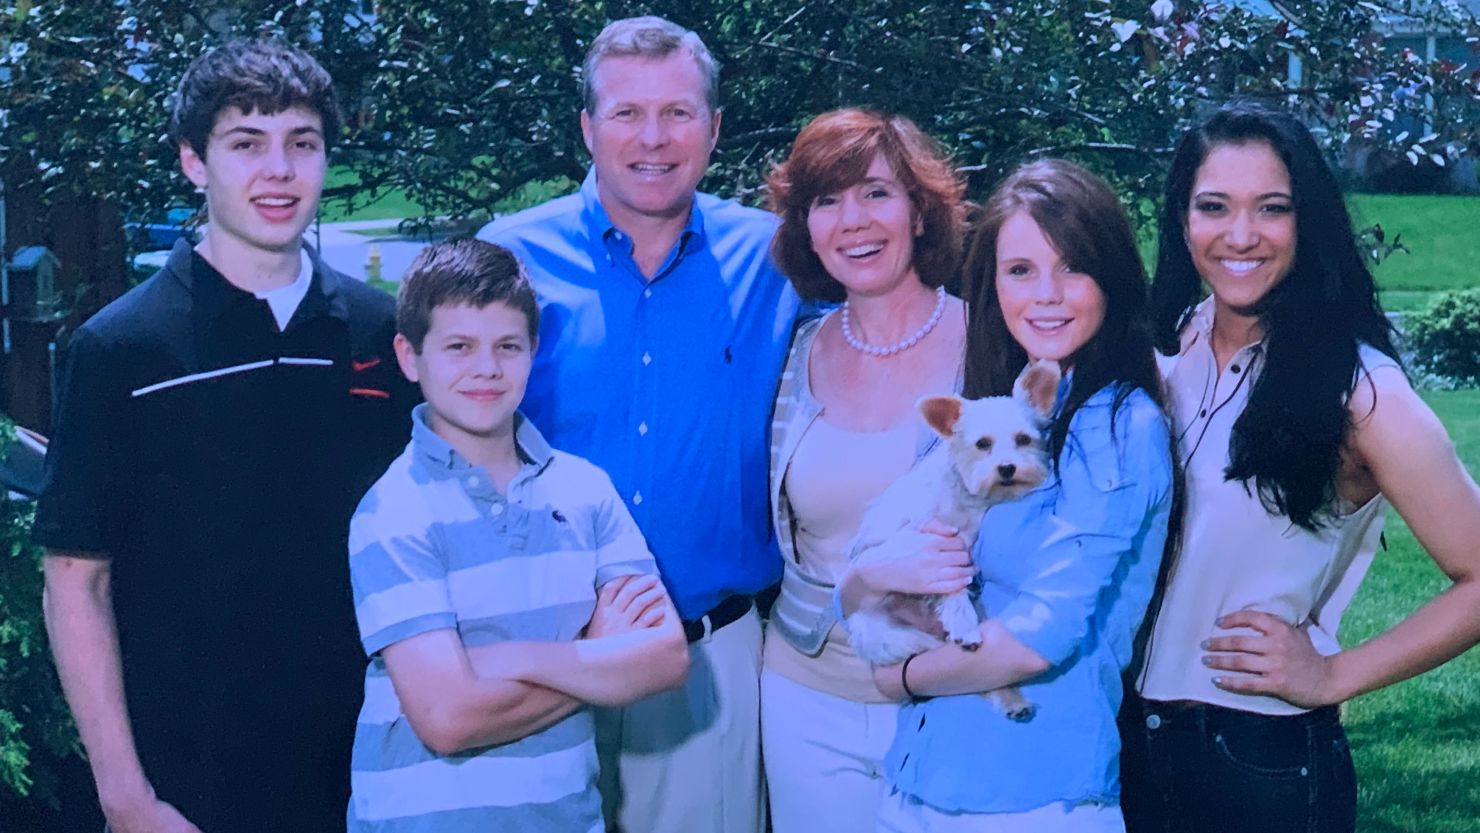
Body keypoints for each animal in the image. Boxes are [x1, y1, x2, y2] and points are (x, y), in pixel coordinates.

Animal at [846, 362, 1065, 719]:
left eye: (1023, 439)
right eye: (982, 444)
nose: (1007, 468)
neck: (966, 496)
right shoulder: (936, 544)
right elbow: (953, 591)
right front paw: (964, 626)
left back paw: (1013, 701)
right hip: (887, 633)